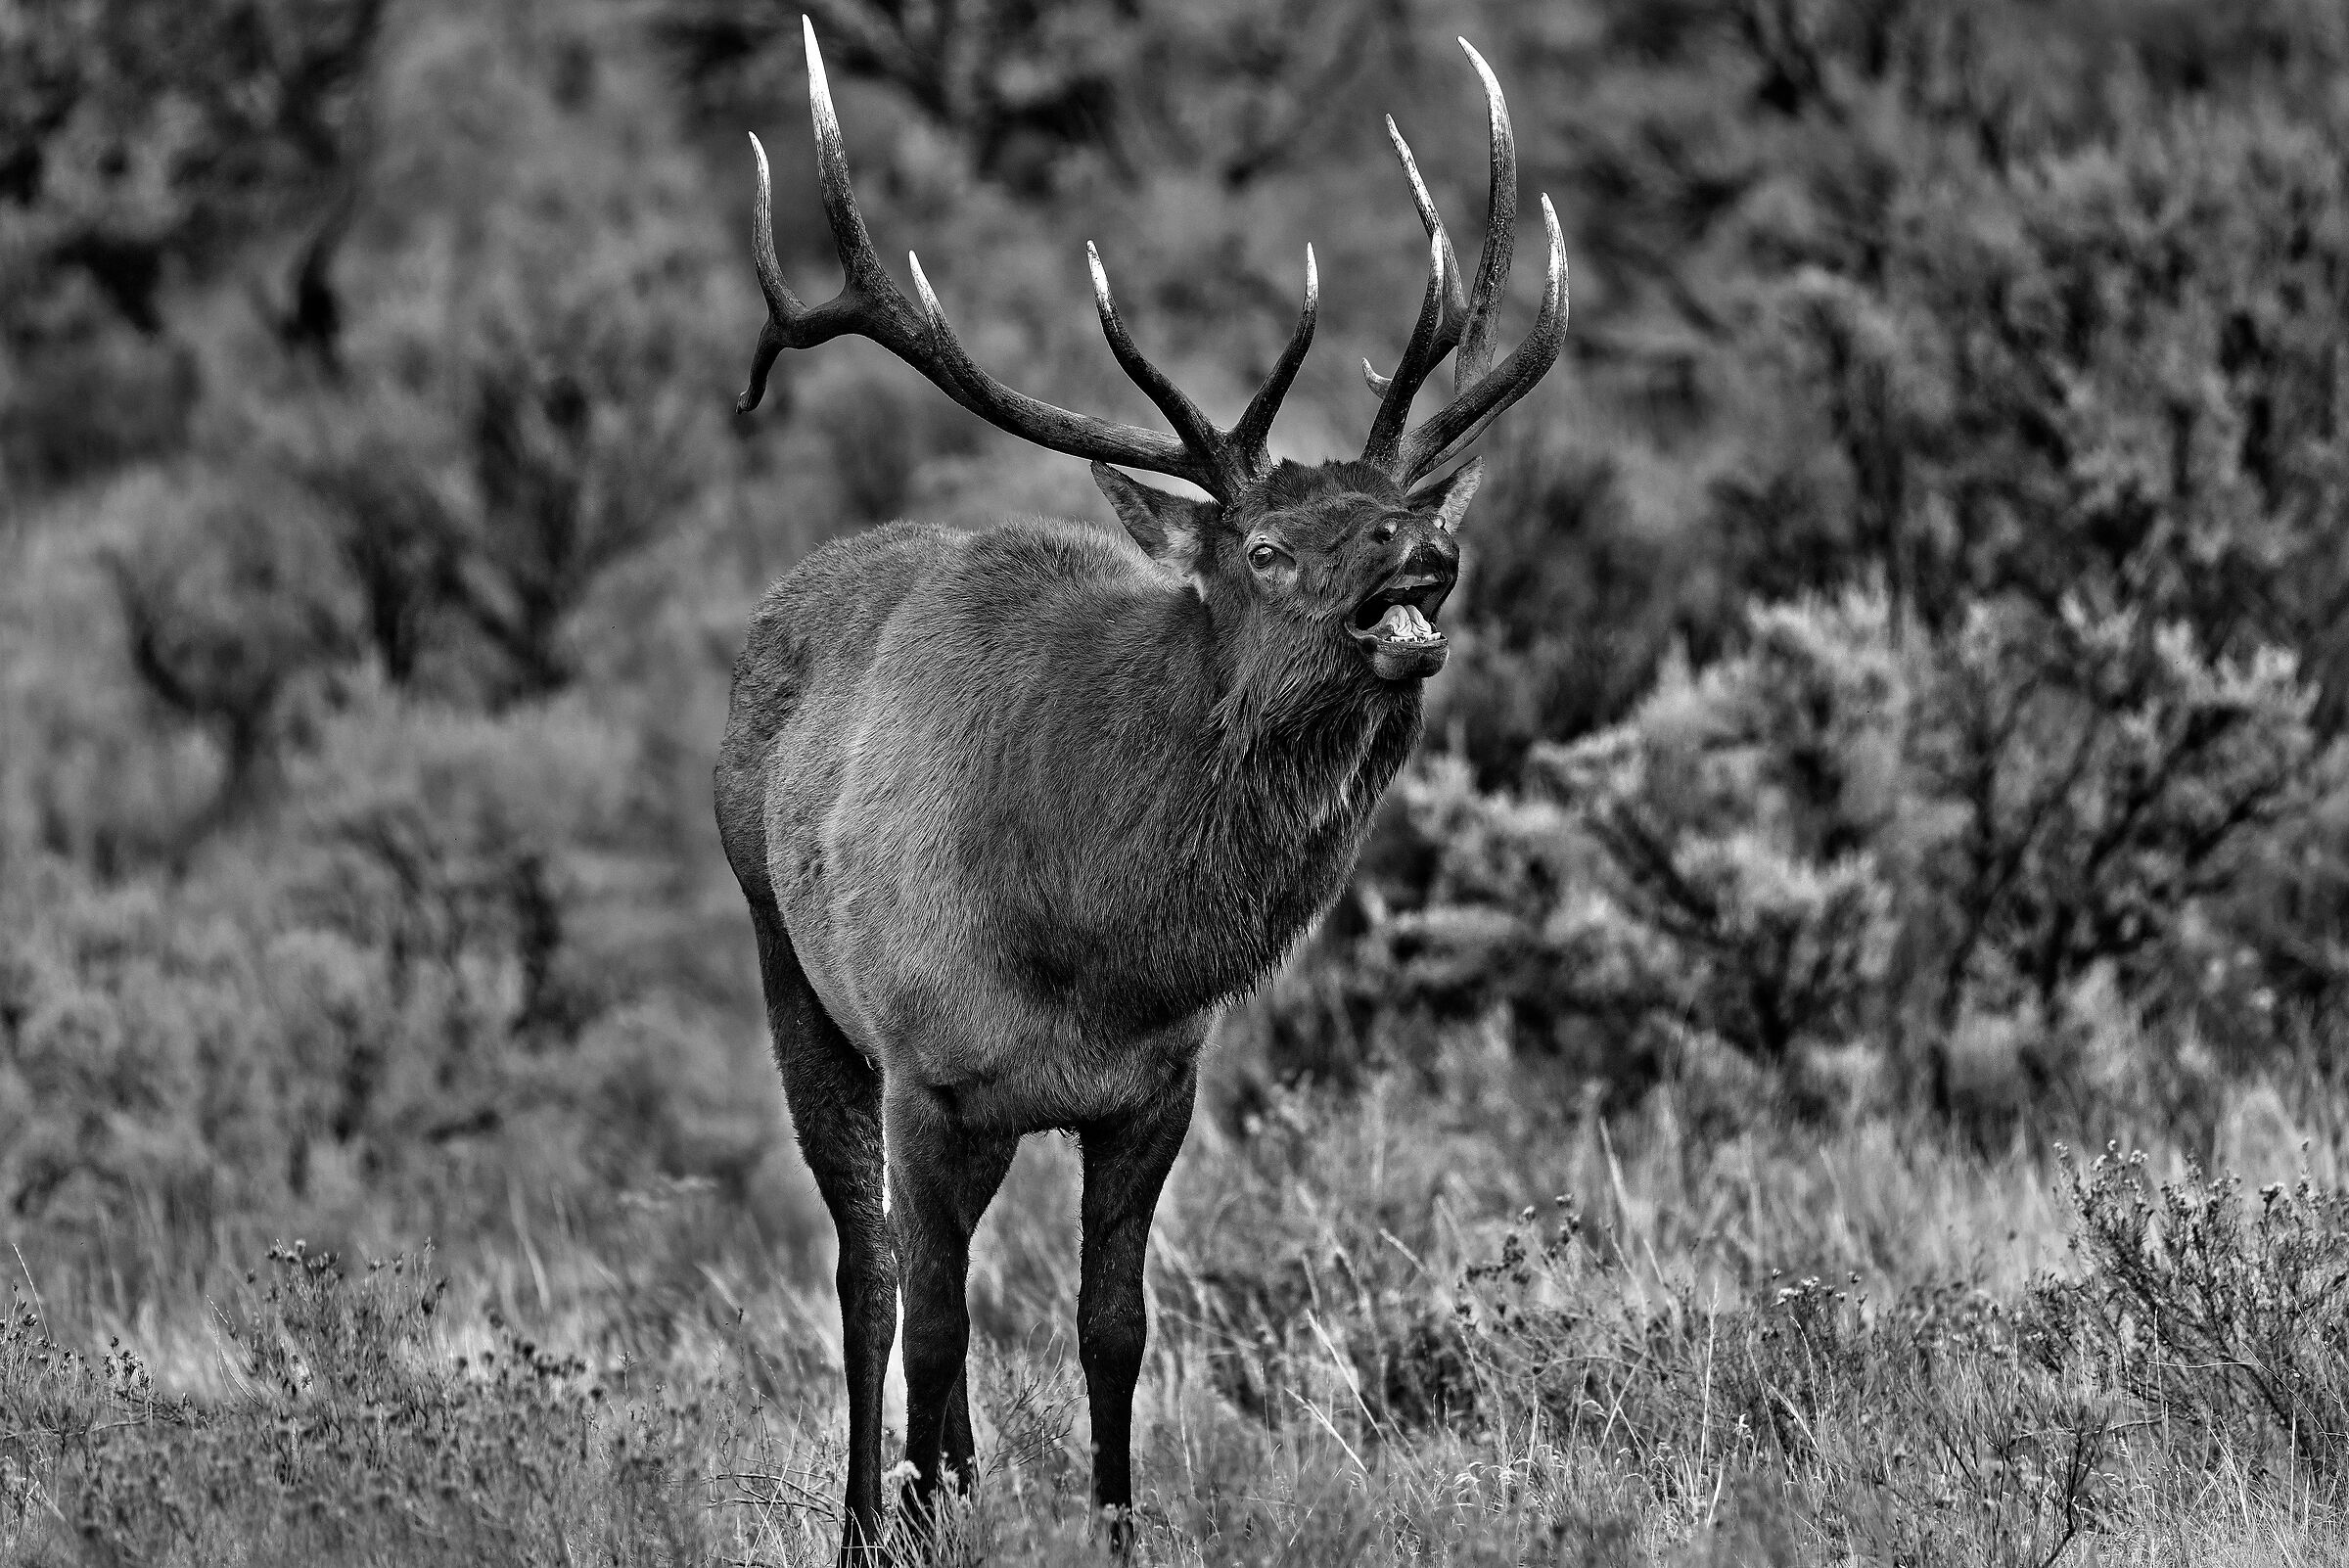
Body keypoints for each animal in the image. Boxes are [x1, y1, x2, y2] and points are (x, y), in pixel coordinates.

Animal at [713, 18, 1565, 1558]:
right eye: (1269, 546)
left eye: (1389, 507)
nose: (1421, 543)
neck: (1092, 939)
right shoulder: (929, 1069)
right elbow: (929, 1321)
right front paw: (909, 1522)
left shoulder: (1154, 1086)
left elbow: (1115, 1331)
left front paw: (1105, 1522)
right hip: (791, 971)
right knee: (870, 1276)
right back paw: (873, 1514)